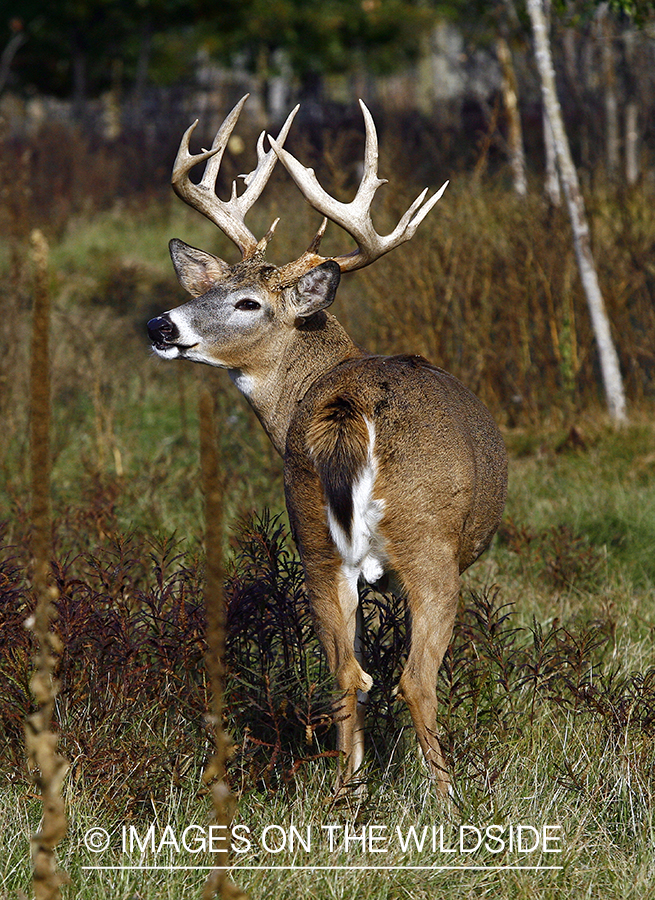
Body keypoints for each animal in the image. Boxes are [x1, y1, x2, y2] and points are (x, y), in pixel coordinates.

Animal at [147, 95, 508, 800]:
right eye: (210, 291)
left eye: (245, 301)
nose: (160, 325)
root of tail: (346, 412)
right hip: (428, 545)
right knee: (412, 681)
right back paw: (449, 801)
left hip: (313, 536)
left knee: (347, 674)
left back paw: (348, 793)